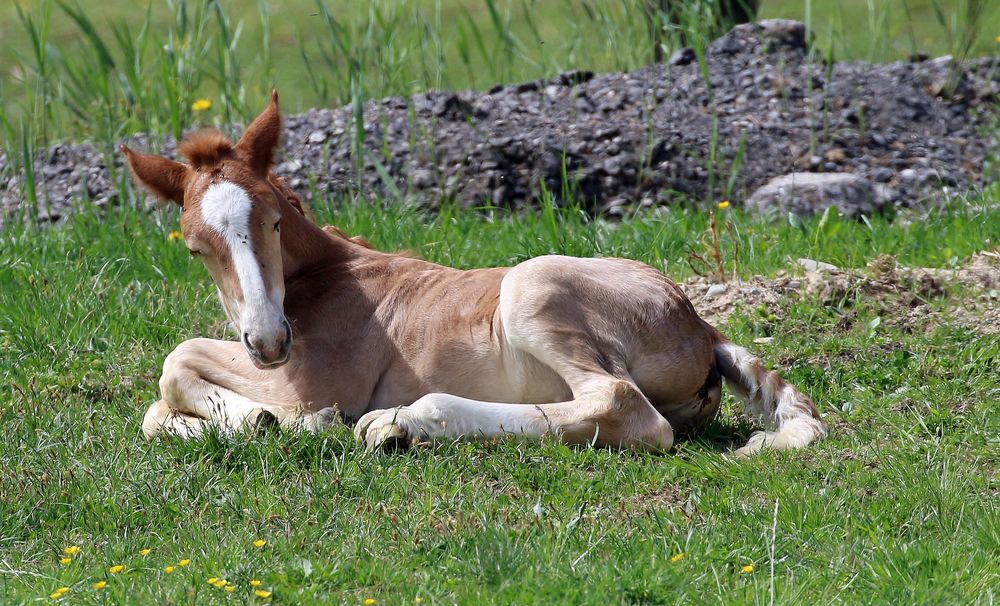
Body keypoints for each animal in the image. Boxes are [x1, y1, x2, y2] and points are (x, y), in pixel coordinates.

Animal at [121, 94, 824, 456]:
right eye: (195, 248)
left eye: (271, 221)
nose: (269, 342)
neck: (325, 275)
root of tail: (700, 325)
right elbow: (159, 405)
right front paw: (221, 421)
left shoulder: (316, 381)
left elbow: (176, 362)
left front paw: (279, 421)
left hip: (531, 288)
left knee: (624, 408)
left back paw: (399, 424)